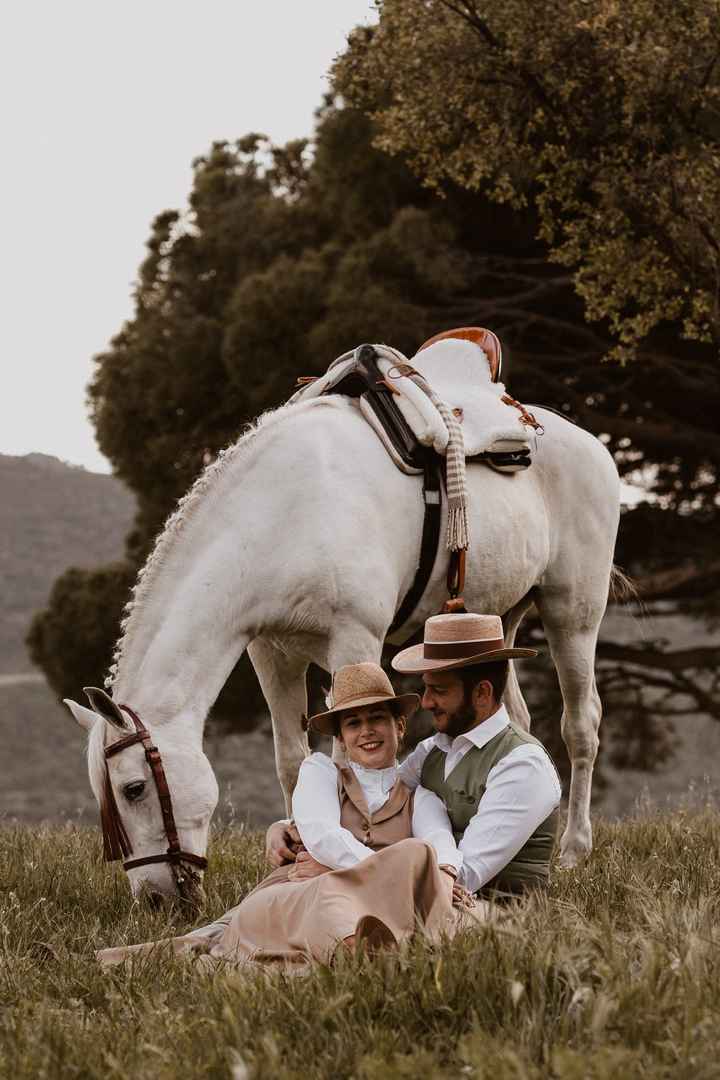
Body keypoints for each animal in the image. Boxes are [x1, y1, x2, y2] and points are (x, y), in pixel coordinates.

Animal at [66, 339, 621, 902]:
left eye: (134, 788)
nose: (155, 898)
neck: (284, 512)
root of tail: (586, 443)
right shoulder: (272, 655)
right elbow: (293, 763)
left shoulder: (354, 641)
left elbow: (343, 759)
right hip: (497, 618)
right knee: (517, 718)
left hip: (573, 612)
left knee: (581, 723)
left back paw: (574, 849)